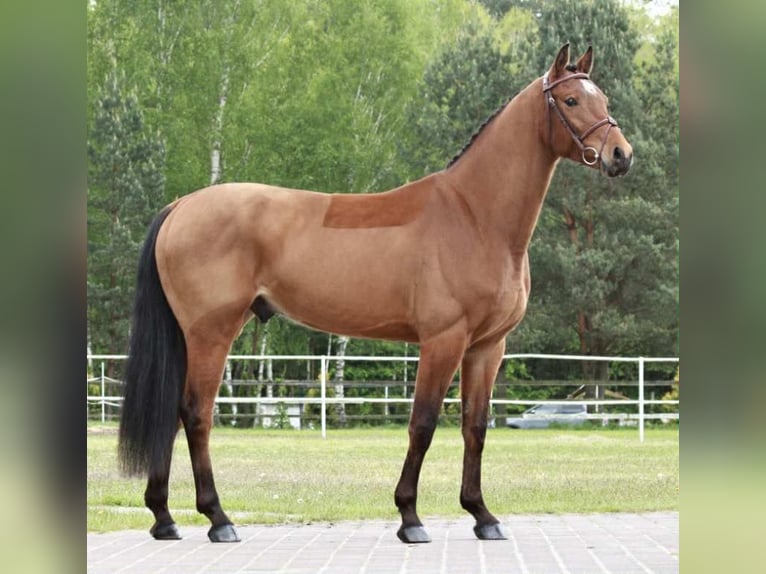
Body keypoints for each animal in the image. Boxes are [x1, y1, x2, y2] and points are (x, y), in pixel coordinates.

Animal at [118, 44, 633, 544]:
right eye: (571, 100)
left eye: (603, 99)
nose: (621, 154)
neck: (474, 215)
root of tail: (182, 205)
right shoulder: (443, 340)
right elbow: (423, 424)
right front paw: (410, 517)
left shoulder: (488, 347)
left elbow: (475, 427)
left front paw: (482, 515)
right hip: (212, 333)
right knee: (196, 414)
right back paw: (218, 519)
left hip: (193, 336)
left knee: (171, 414)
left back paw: (164, 518)